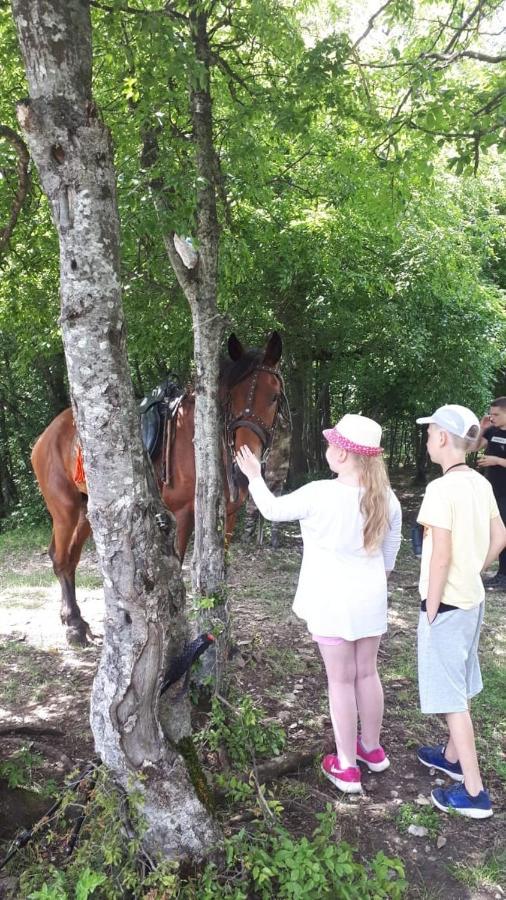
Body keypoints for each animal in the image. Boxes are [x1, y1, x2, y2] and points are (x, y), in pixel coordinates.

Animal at [30, 334, 284, 644]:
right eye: (231, 397)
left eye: (274, 396)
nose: (244, 466)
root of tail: (45, 436)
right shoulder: (183, 514)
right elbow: (177, 569)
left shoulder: (229, 516)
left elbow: (220, 570)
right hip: (65, 511)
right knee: (60, 558)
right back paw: (73, 626)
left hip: (88, 509)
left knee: (71, 558)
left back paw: (76, 620)